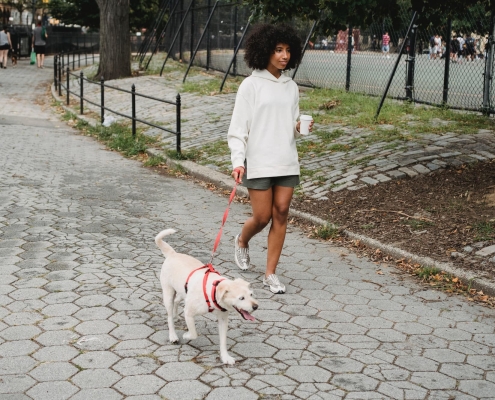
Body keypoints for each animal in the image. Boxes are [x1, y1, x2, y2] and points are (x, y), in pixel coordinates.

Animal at [156, 228, 260, 366]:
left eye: (251, 294)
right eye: (241, 298)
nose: (256, 306)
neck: (213, 290)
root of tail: (173, 254)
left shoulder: (223, 319)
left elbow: (223, 341)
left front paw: (225, 357)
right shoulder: (189, 313)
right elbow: (194, 333)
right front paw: (186, 335)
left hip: (183, 292)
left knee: (177, 300)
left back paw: (176, 315)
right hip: (168, 293)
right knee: (169, 317)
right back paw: (173, 335)